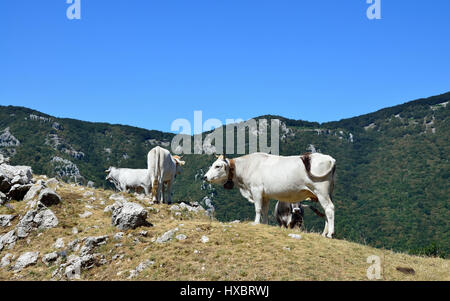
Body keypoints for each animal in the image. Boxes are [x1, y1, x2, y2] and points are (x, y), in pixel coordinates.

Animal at [204, 152, 338, 237]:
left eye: (217, 166)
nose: (204, 177)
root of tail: (330, 159)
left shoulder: (256, 190)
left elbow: (258, 209)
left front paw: (256, 223)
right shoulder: (265, 195)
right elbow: (264, 210)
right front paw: (264, 224)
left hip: (321, 191)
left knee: (329, 208)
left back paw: (330, 233)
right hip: (324, 193)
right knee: (325, 212)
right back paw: (324, 233)